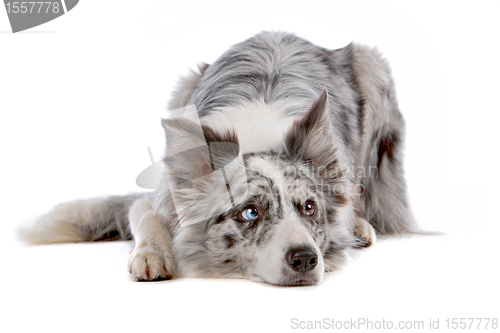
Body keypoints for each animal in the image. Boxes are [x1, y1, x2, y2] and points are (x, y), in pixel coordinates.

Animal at [19, 31, 416, 286]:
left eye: (309, 208)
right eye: (251, 212)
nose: (305, 258)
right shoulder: (162, 195)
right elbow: (143, 214)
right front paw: (151, 255)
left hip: (371, 65)